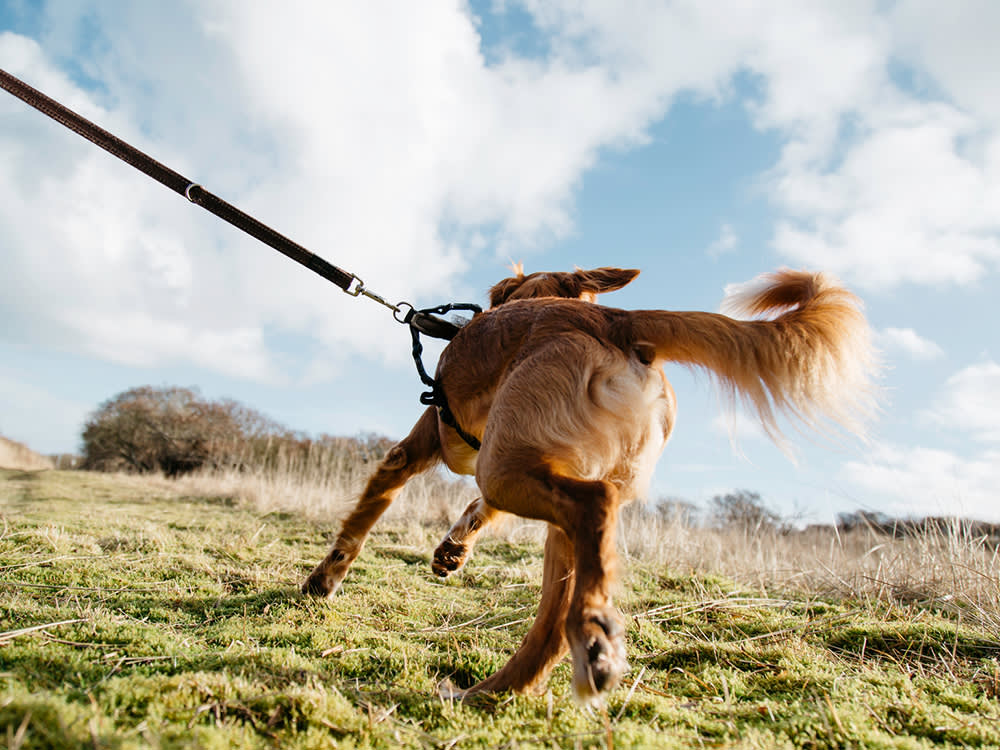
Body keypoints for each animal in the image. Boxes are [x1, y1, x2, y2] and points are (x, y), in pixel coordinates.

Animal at [302, 268, 876, 708]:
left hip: (504, 471)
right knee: (555, 618)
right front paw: (452, 549)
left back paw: (587, 636)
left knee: (593, 506)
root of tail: (617, 322)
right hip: (543, 499)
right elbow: (478, 510)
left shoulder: (417, 449)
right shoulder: (524, 456)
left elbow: (363, 517)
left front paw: (324, 580)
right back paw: (523, 677)